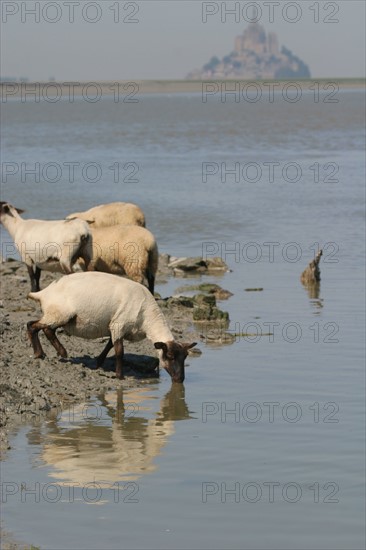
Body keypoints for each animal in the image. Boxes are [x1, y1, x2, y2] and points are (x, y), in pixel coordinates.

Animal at [27, 272, 197, 384]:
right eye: (170, 356)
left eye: (185, 357)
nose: (180, 379)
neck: (148, 317)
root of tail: (43, 293)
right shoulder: (118, 325)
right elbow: (119, 352)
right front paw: (120, 376)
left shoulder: (115, 327)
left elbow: (109, 345)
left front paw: (98, 363)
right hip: (60, 313)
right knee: (34, 326)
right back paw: (48, 353)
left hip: (58, 316)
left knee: (43, 328)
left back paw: (48, 353)